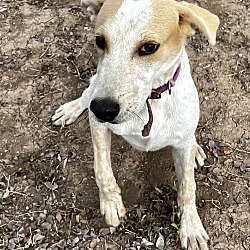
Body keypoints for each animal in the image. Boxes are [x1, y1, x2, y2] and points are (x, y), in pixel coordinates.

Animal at [51, 0, 219, 249]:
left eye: (149, 47)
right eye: (100, 41)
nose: (103, 109)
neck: (151, 100)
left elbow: (188, 187)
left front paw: (191, 227)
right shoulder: (98, 125)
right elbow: (102, 169)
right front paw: (111, 203)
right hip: (94, 88)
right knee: (88, 90)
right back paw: (71, 108)